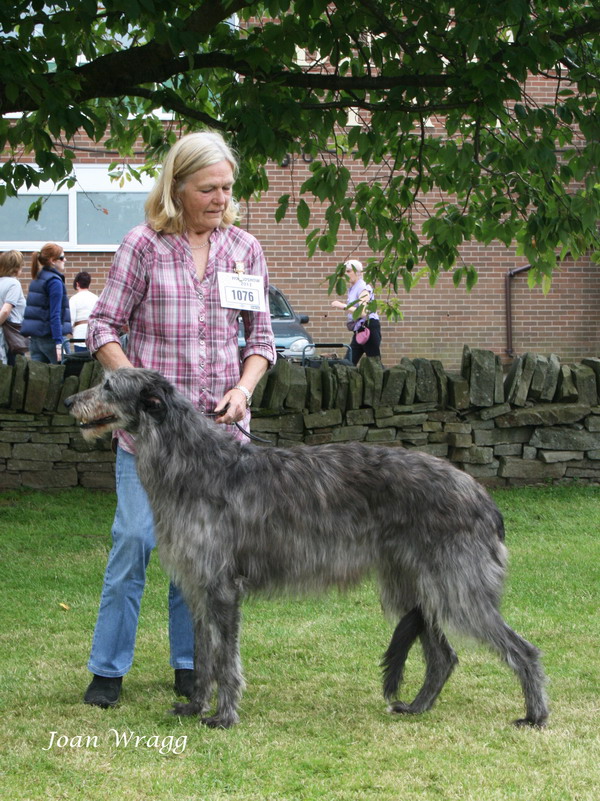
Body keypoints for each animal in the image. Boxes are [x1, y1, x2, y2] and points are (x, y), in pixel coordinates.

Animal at [65, 366, 548, 728]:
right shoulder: (198, 587)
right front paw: (195, 705)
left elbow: (225, 660)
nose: (70, 402)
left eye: (108, 386)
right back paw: (416, 707)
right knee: (444, 657)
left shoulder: (222, 588)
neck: (193, 463)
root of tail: (482, 496)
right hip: (415, 586)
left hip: (456, 587)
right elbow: (204, 656)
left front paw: (223, 716)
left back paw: (535, 715)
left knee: (522, 649)